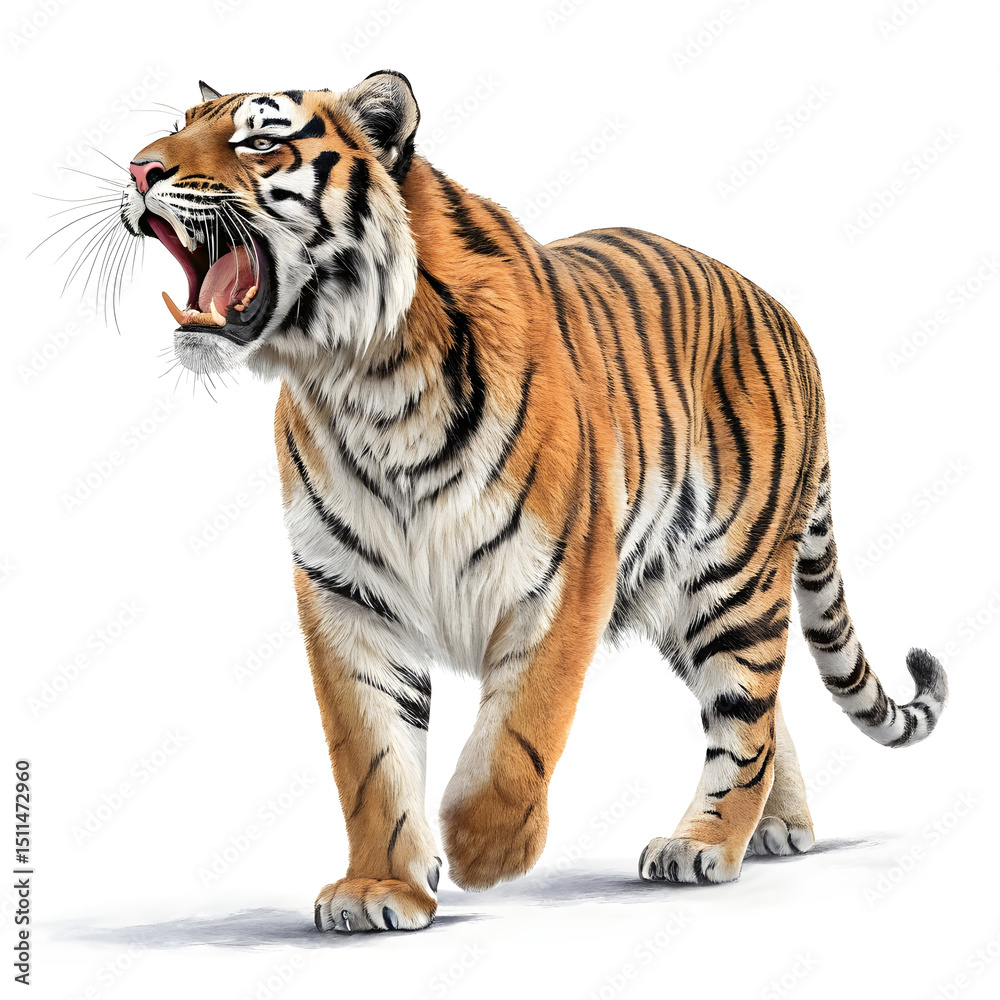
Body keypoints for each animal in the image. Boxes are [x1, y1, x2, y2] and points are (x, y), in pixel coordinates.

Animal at [119, 70, 948, 932]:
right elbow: (370, 755)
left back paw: (705, 845)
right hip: (675, 600)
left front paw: (482, 849)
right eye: (176, 129)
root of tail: (785, 318)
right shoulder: (345, 593)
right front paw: (379, 887)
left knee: (746, 718)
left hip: (731, 580)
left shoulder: (565, 572)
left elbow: (519, 731)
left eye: (258, 140)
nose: (139, 170)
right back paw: (778, 828)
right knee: (767, 711)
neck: (363, 380)